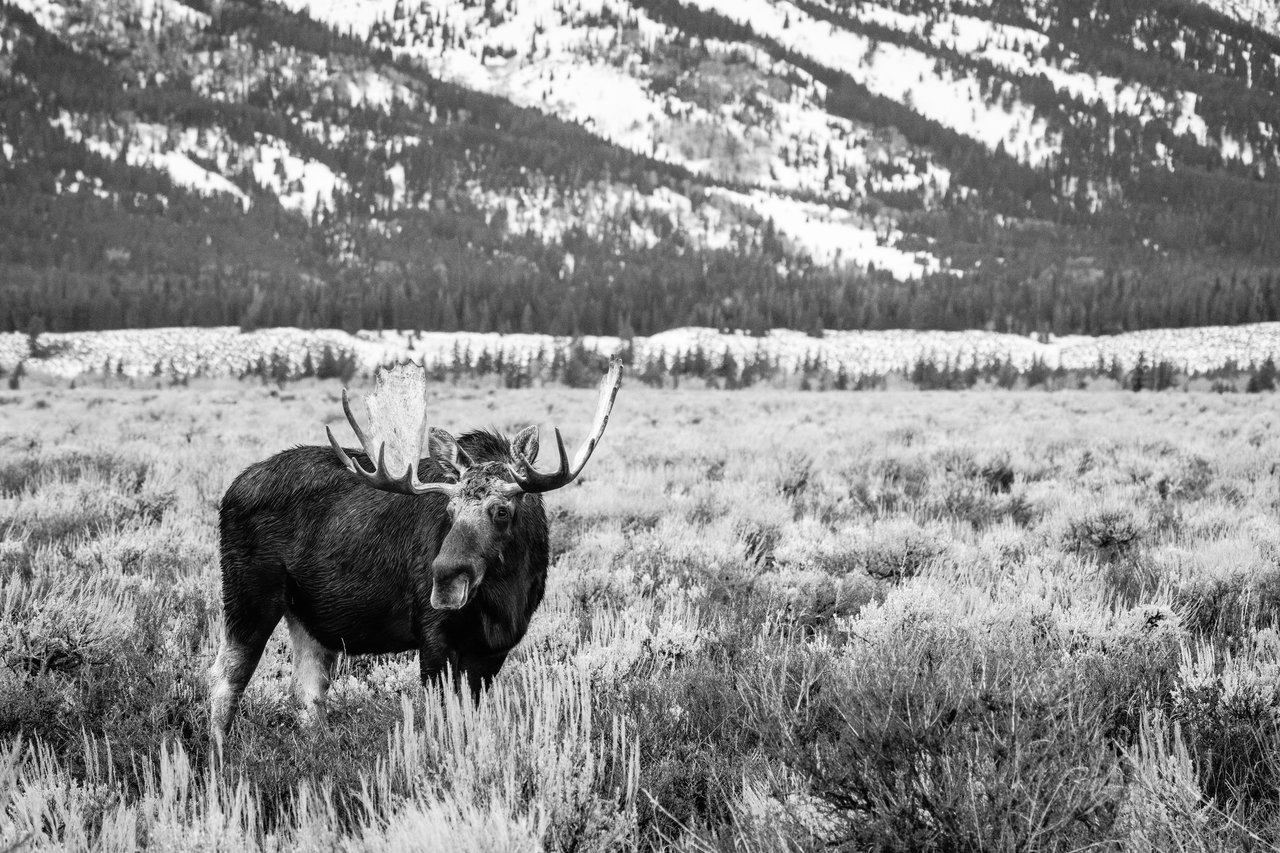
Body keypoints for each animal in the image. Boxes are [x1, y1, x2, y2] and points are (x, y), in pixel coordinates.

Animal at [209, 359, 622, 738]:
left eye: (502, 510)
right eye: (450, 510)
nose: (444, 581)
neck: (506, 595)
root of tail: (229, 492)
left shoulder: (493, 649)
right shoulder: (433, 635)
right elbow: (441, 718)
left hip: (305, 617)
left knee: (307, 691)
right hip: (249, 594)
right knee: (225, 678)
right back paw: (220, 755)